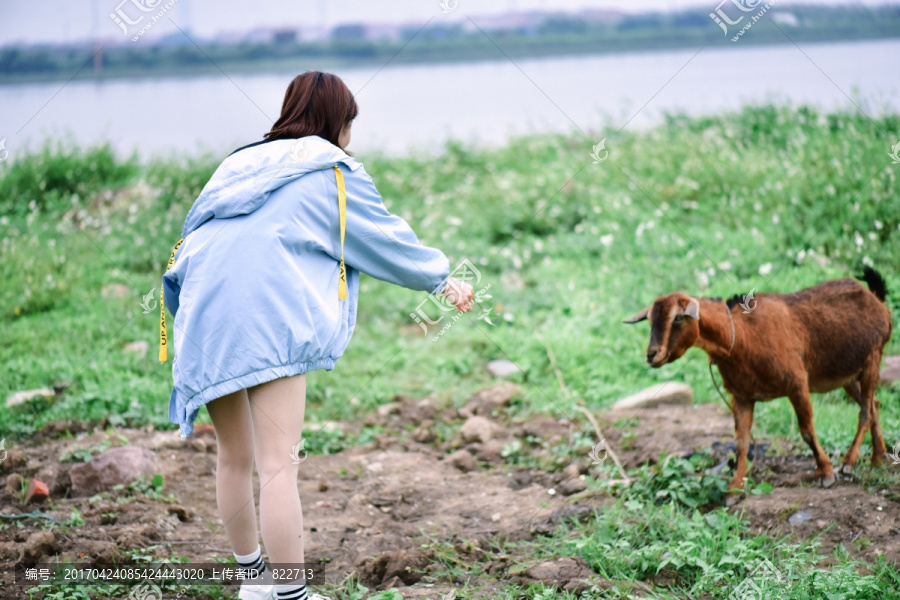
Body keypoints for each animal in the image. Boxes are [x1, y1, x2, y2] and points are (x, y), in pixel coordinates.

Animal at [624, 268, 892, 502]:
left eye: (678, 318)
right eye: (650, 320)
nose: (652, 355)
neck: (740, 338)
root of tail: (876, 299)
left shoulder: (797, 383)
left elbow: (806, 430)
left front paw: (825, 473)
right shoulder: (742, 396)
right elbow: (741, 442)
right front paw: (734, 489)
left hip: (872, 359)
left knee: (865, 411)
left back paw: (848, 462)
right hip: (848, 374)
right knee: (875, 405)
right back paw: (877, 458)